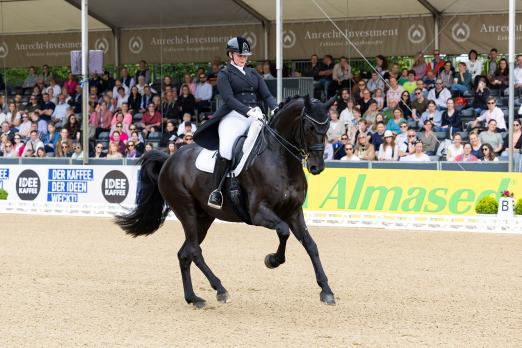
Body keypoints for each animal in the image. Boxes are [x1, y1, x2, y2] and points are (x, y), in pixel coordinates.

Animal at [114, 95, 336, 308]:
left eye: (326, 128)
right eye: (309, 127)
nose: (317, 167)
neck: (280, 159)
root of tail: (169, 159)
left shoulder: (294, 211)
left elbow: (310, 245)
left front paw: (326, 291)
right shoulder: (259, 213)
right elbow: (283, 231)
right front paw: (272, 260)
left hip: (203, 218)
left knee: (185, 254)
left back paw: (193, 298)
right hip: (186, 211)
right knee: (194, 251)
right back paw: (220, 289)